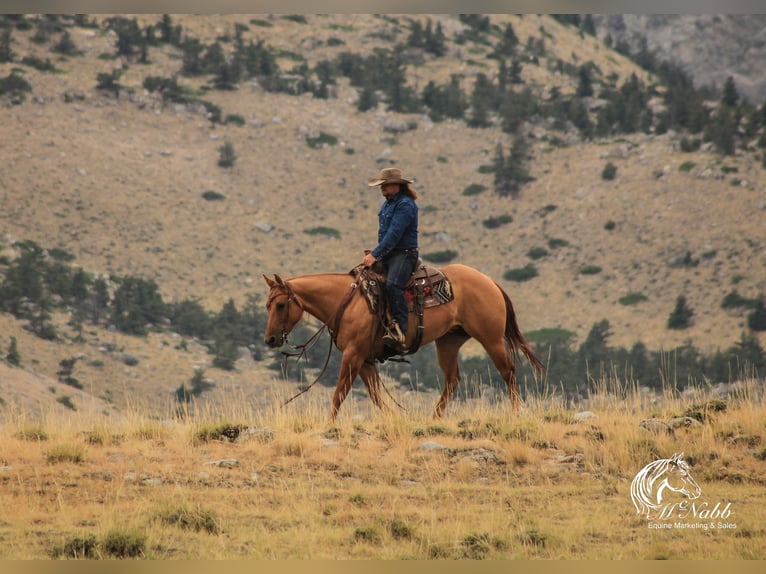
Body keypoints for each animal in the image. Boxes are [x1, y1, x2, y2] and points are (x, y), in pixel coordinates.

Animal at [264, 266, 544, 424]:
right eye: (267, 305)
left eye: (281, 304)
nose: (270, 339)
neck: (347, 302)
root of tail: (490, 282)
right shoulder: (364, 359)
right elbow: (375, 395)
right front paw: (395, 418)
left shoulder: (353, 355)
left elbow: (340, 391)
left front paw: (329, 423)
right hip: (448, 341)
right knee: (452, 378)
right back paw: (434, 418)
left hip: (491, 338)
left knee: (507, 371)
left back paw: (517, 412)